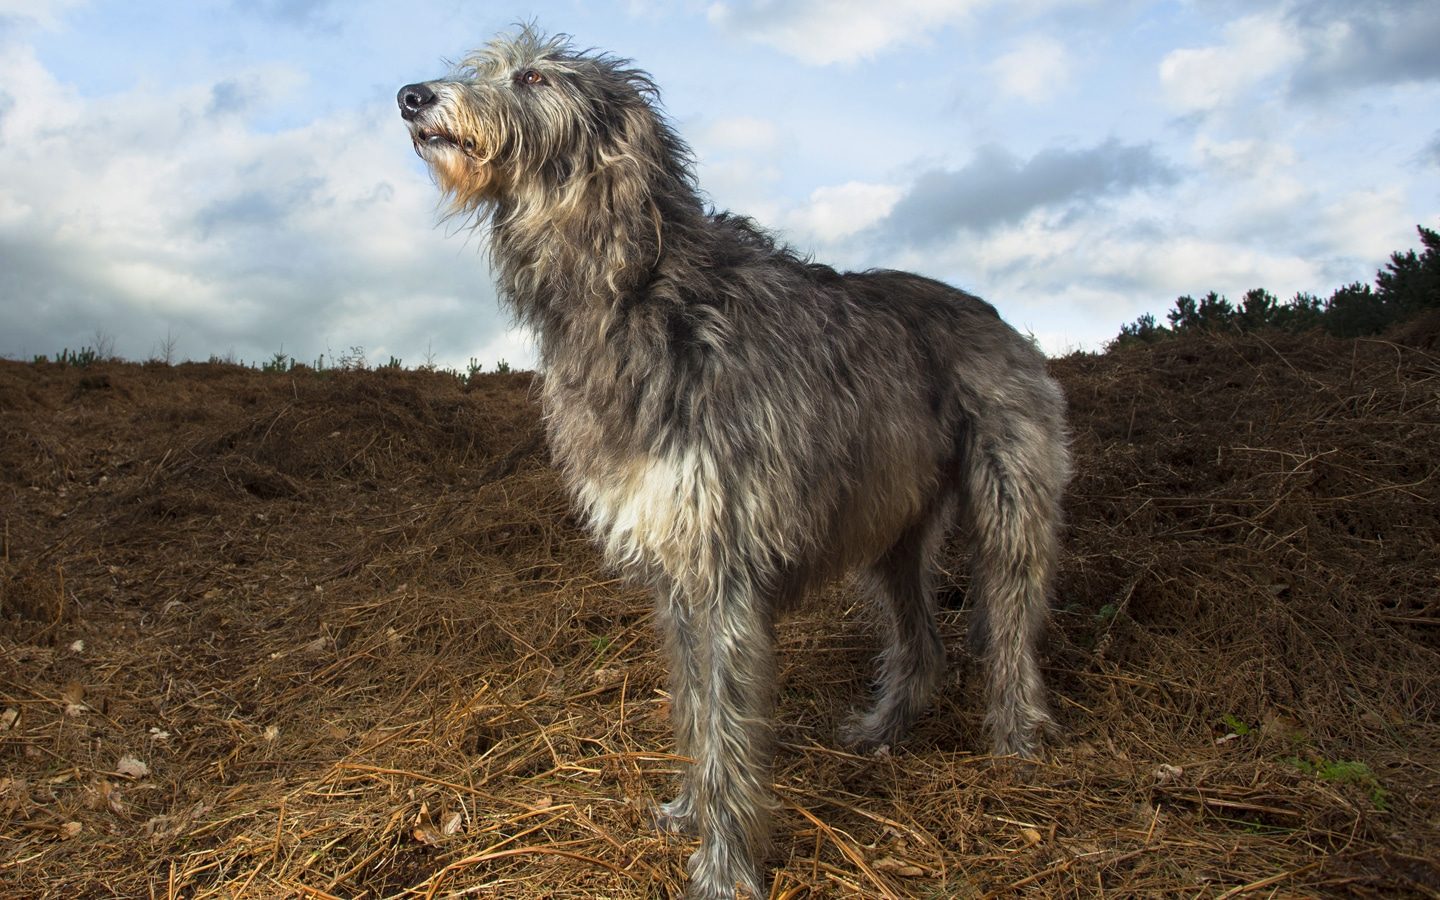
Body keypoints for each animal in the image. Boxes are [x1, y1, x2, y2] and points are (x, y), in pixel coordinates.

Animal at [397, 28, 1071, 898]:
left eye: (535, 78)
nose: (410, 96)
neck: (636, 288)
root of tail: (992, 313)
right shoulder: (675, 565)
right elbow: (693, 707)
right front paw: (689, 811)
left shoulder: (722, 564)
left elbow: (727, 725)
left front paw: (723, 867)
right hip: (892, 521)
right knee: (921, 641)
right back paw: (884, 727)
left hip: (1009, 497)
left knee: (1013, 619)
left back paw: (1018, 737)